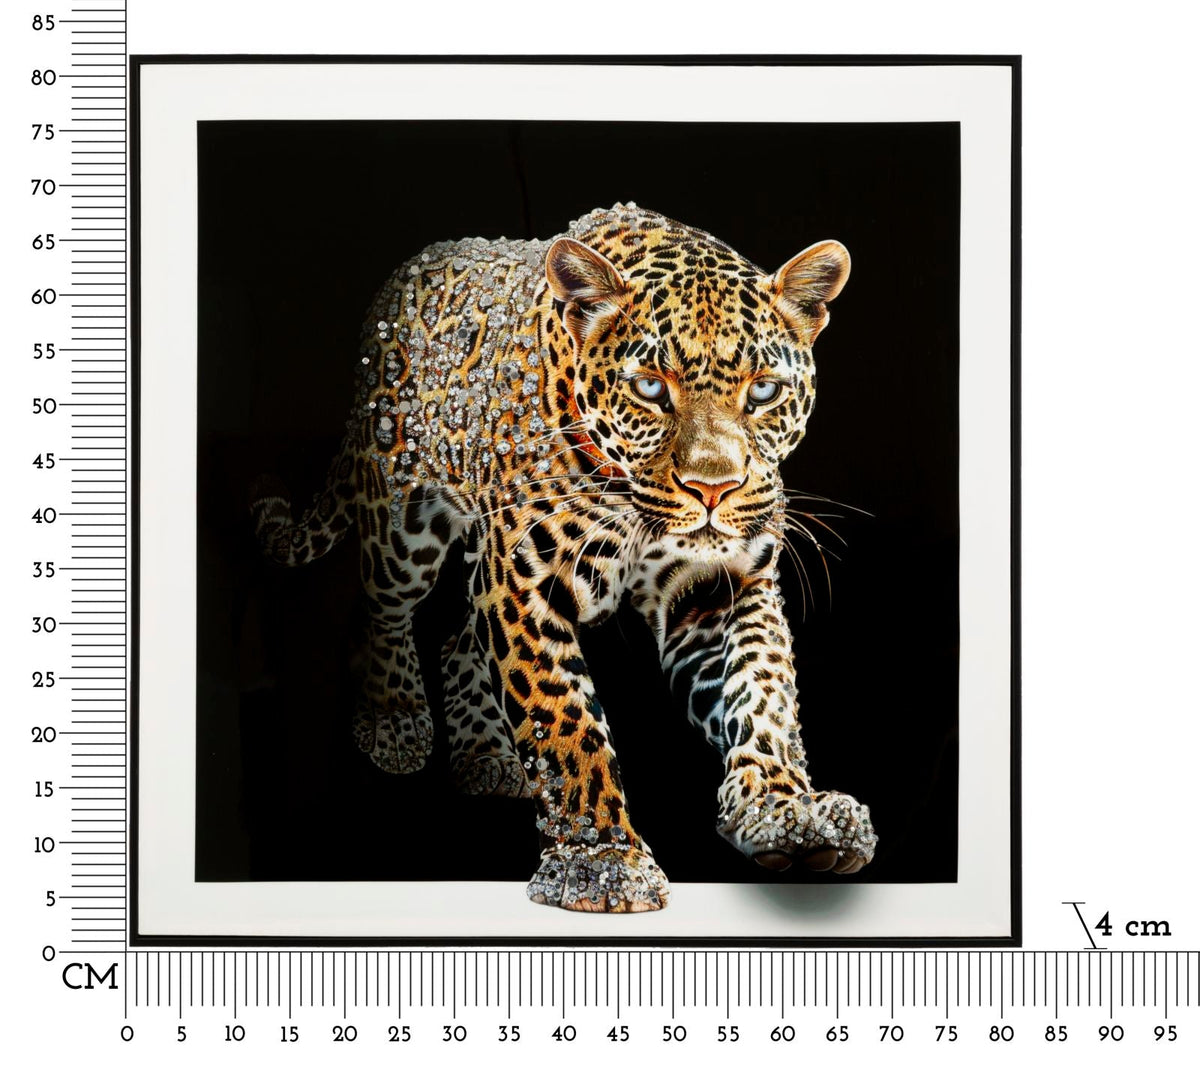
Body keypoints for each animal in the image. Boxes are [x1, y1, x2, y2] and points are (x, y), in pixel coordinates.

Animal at [250, 202, 878, 912]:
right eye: (650, 388)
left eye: (765, 391)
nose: (713, 489)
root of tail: (408, 268)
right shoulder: (525, 581)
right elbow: (565, 720)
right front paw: (599, 859)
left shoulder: (721, 585)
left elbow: (762, 690)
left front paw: (787, 813)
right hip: (401, 520)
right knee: (380, 608)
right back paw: (395, 718)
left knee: (459, 636)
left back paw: (486, 755)